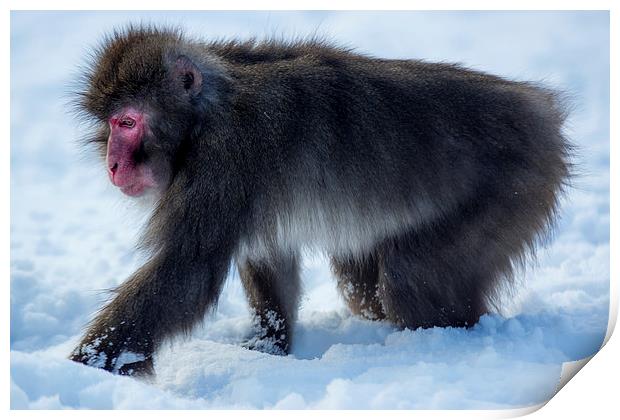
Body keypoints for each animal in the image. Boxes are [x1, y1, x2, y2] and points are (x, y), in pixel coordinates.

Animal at [68, 24, 572, 376]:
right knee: (362, 287)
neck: (207, 113)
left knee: (409, 278)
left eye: (129, 122)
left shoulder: (225, 159)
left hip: (511, 190)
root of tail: (540, 111)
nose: (113, 164)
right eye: (111, 123)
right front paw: (268, 349)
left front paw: (87, 364)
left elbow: (186, 270)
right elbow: (267, 255)